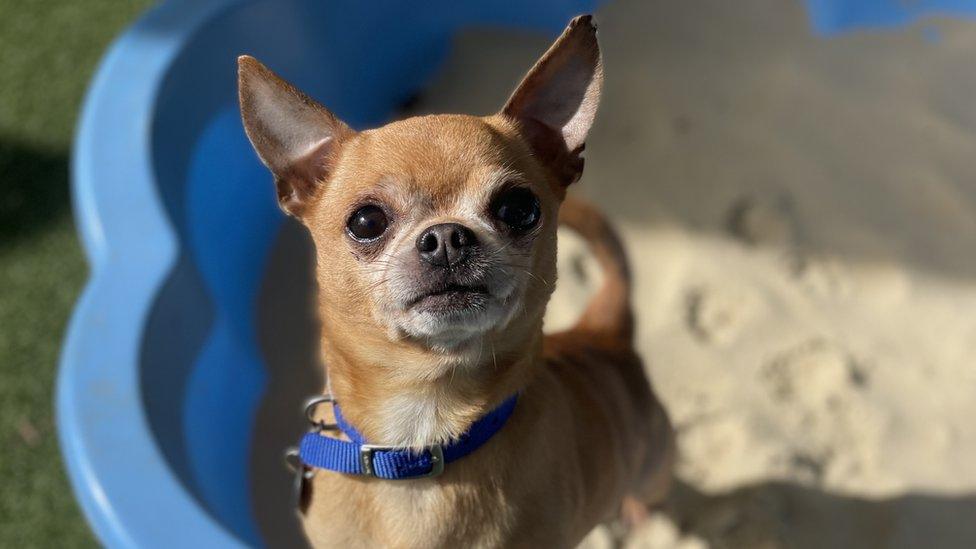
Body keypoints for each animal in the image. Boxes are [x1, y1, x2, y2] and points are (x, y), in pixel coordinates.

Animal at [240, 15, 676, 544]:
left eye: (519, 208)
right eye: (366, 221)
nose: (446, 236)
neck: (420, 438)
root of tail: (604, 330)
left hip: (655, 466)